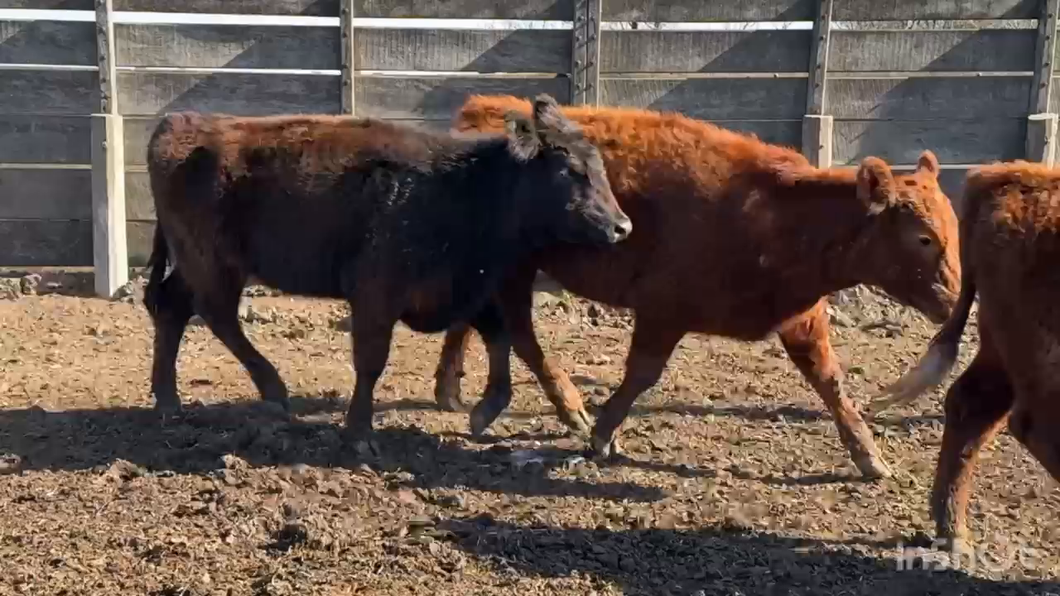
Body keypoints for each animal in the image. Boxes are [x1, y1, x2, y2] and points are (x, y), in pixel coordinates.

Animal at [145, 92, 631, 445]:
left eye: (598, 166)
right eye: (570, 169)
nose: (622, 226)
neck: (463, 186)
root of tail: (180, 123)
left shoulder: (462, 288)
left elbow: (499, 337)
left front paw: (487, 409)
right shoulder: (377, 296)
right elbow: (372, 359)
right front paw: (359, 432)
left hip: (196, 265)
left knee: (171, 306)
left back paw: (168, 401)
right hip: (214, 263)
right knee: (216, 315)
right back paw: (273, 389)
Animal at [430, 96, 962, 477]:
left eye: (953, 227)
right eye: (923, 237)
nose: (956, 302)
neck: (777, 217)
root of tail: (481, 111)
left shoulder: (802, 318)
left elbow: (830, 380)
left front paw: (870, 457)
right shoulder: (662, 311)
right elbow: (641, 374)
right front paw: (602, 434)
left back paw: (452, 391)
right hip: (515, 269)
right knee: (519, 333)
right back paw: (560, 407)